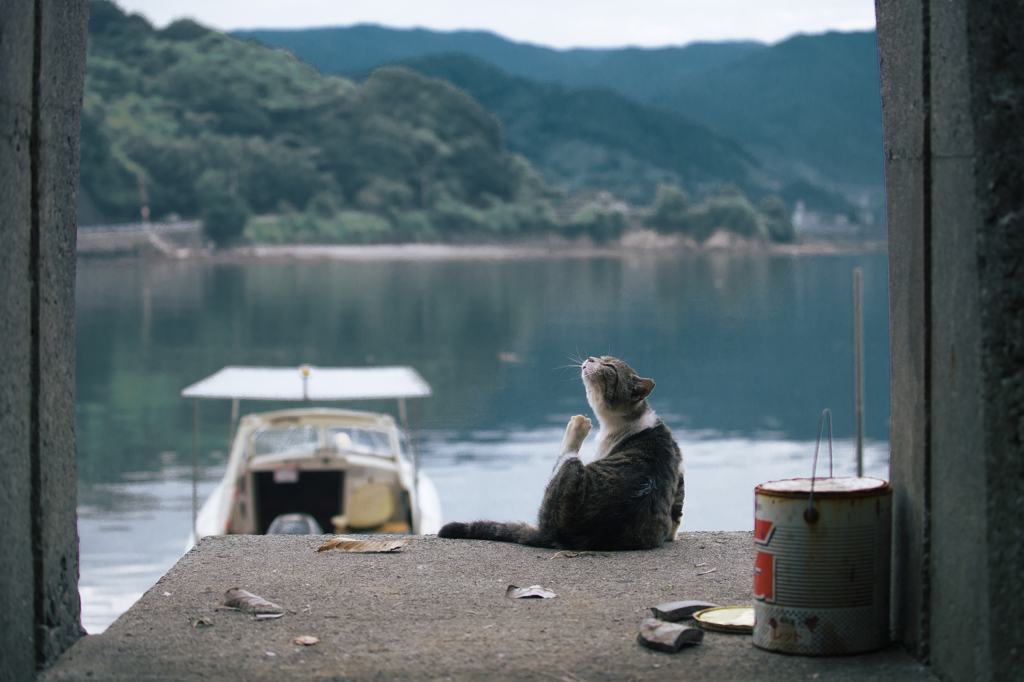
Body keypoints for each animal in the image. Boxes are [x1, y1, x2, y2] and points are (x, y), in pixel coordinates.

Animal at [436, 352, 684, 548]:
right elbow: (677, 514)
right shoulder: (679, 467)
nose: (591, 358)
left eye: (610, 367)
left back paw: (577, 426)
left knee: (566, 454)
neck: (628, 421)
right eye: (601, 357)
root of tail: (558, 536)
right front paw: (672, 534)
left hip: (570, 470)